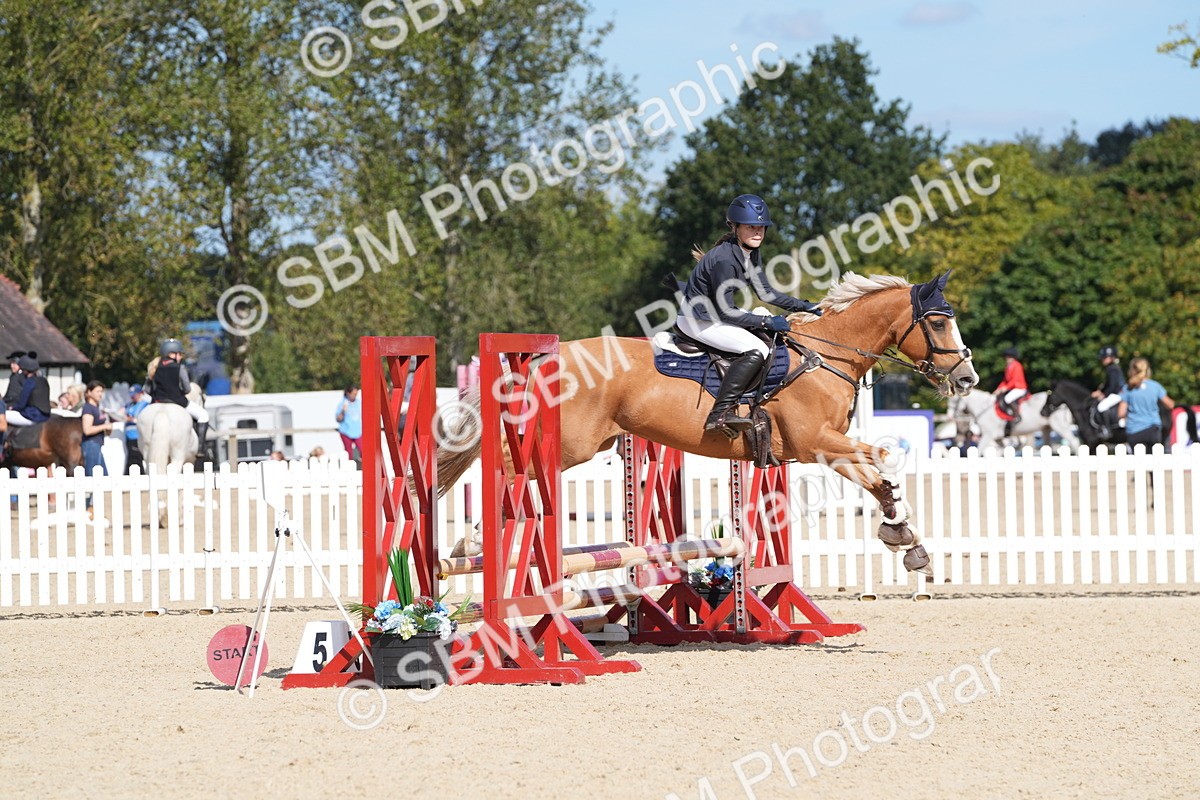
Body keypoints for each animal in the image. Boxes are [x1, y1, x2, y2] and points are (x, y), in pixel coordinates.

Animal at [435, 271, 980, 576]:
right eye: (937, 323)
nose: (967, 377)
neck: (827, 356)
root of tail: (552, 357)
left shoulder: (827, 446)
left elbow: (878, 475)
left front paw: (905, 538)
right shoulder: (816, 443)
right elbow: (883, 460)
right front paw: (902, 532)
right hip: (570, 445)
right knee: (508, 464)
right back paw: (473, 542)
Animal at [948, 389, 1078, 453]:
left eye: (954, 401)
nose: (949, 416)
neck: (983, 408)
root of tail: (1063, 404)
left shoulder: (987, 435)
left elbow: (979, 451)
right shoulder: (999, 439)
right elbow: (1000, 452)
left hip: (1060, 427)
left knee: (1074, 442)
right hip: (1046, 428)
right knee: (1048, 445)